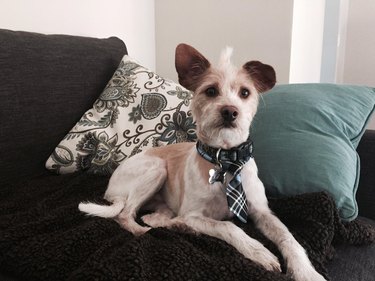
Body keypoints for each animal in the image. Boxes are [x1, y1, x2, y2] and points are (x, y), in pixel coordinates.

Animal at [78, 43, 326, 280]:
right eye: (211, 91)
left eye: (245, 92)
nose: (230, 111)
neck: (226, 160)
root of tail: (111, 189)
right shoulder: (194, 214)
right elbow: (228, 226)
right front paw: (259, 253)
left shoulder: (262, 211)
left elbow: (288, 238)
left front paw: (306, 272)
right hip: (156, 169)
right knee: (125, 215)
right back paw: (145, 231)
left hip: (163, 203)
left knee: (153, 217)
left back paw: (179, 227)